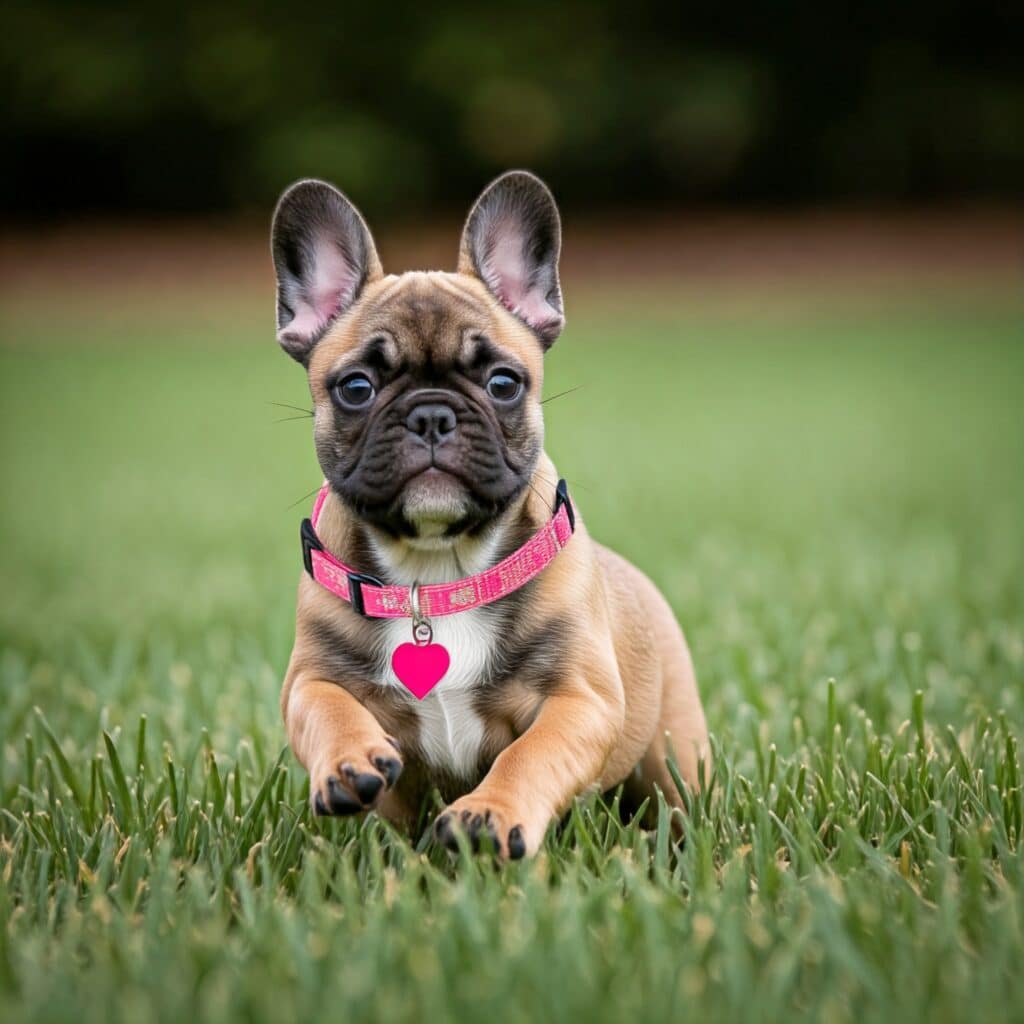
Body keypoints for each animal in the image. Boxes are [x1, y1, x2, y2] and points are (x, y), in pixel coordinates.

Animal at [278, 169, 712, 856]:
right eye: (356, 389)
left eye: (503, 383)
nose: (432, 414)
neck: (435, 572)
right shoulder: (310, 678)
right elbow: (326, 707)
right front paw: (349, 762)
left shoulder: (579, 701)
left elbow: (530, 755)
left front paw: (488, 814)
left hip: (675, 749)